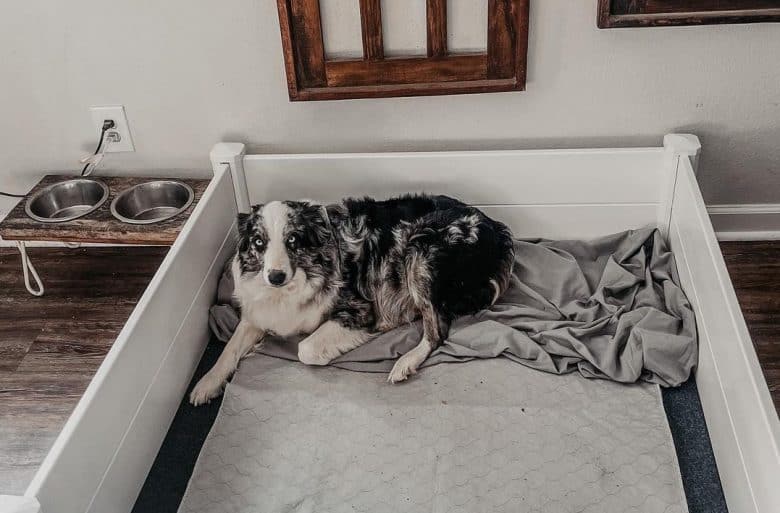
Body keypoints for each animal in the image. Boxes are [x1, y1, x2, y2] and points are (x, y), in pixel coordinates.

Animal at [192, 194, 516, 406]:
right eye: (259, 242)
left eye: (292, 240)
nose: (275, 276)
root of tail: (498, 229)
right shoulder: (258, 313)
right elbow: (229, 350)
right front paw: (206, 384)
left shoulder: (360, 310)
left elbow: (306, 349)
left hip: (420, 250)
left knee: (438, 330)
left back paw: (405, 362)